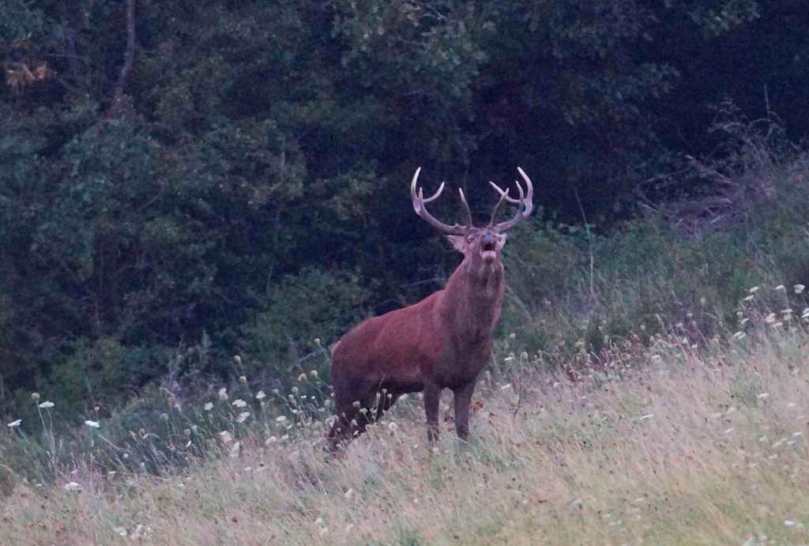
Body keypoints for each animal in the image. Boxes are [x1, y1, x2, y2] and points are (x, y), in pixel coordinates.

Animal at [326, 167, 532, 450]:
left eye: (495, 238)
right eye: (470, 237)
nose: (489, 239)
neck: (464, 334)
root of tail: (335, 349)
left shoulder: (468, 379)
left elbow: (463, 430)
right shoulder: (429, 376)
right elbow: (432, 432)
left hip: (379, 397)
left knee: (343, 437)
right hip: (348, 389)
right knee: (333, 437)